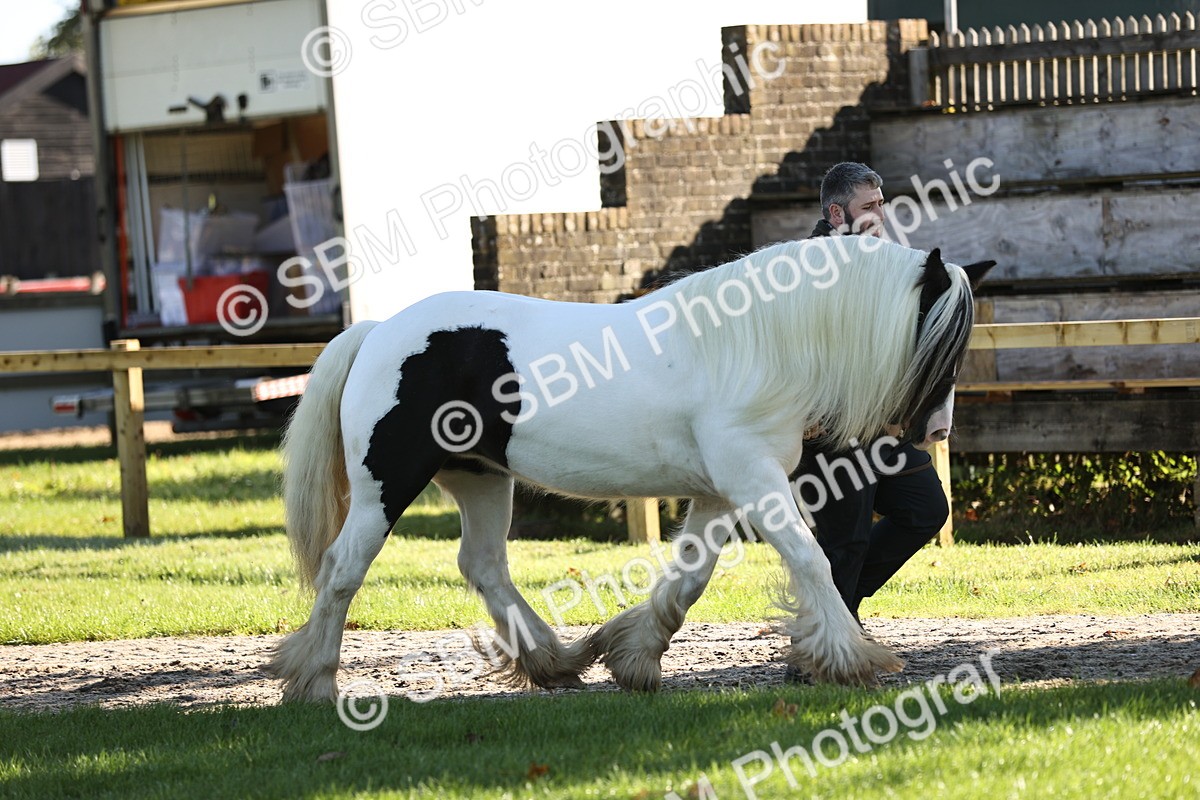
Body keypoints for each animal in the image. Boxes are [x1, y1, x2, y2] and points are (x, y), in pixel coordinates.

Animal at [266, 235, 994, 702]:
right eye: (941, 338)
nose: (935, 432)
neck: (757, 344)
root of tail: (380, 330)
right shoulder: (753, 480)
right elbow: (813, 561)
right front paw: (852, 658)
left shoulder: (718, 494)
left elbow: (688, 580)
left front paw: (635, 659)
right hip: (385, 487)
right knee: (342, 569)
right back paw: (315, 681)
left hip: (481, 478)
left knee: (483, 566)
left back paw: (555, 660)